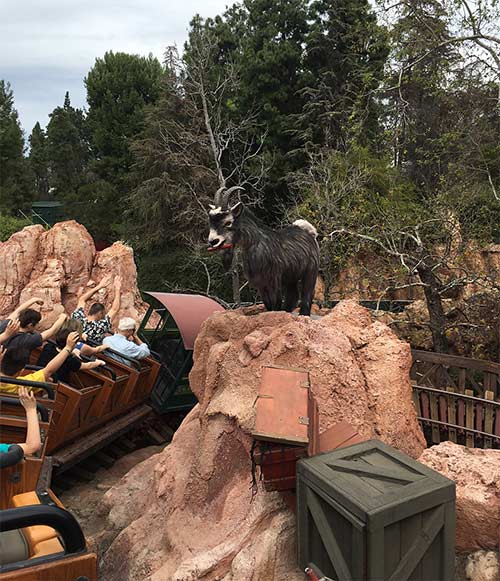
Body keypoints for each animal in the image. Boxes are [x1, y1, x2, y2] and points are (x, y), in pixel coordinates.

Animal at [208, 186, 320, 314]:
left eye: (228, 222)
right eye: (210, 221)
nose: (213, 241)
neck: (257, 243)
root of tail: (309, 231)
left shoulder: (273, 281)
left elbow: (276, 304)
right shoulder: (261, 285)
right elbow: (268, 305)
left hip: (310, 272)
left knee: (307, 294)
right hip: (291, 277)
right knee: (293, 295)